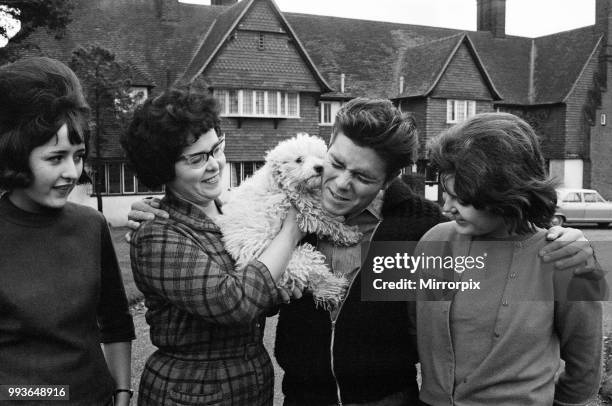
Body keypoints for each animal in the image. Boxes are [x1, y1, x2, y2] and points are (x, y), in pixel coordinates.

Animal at [219, 133, 360, 308]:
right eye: (299, 159)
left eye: (321, 157)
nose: (319, 167)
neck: (281, 182)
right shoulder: (305, 210)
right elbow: (329, 221)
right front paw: (351, 233)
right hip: (297, 261)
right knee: (318, 276)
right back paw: (336, 285)